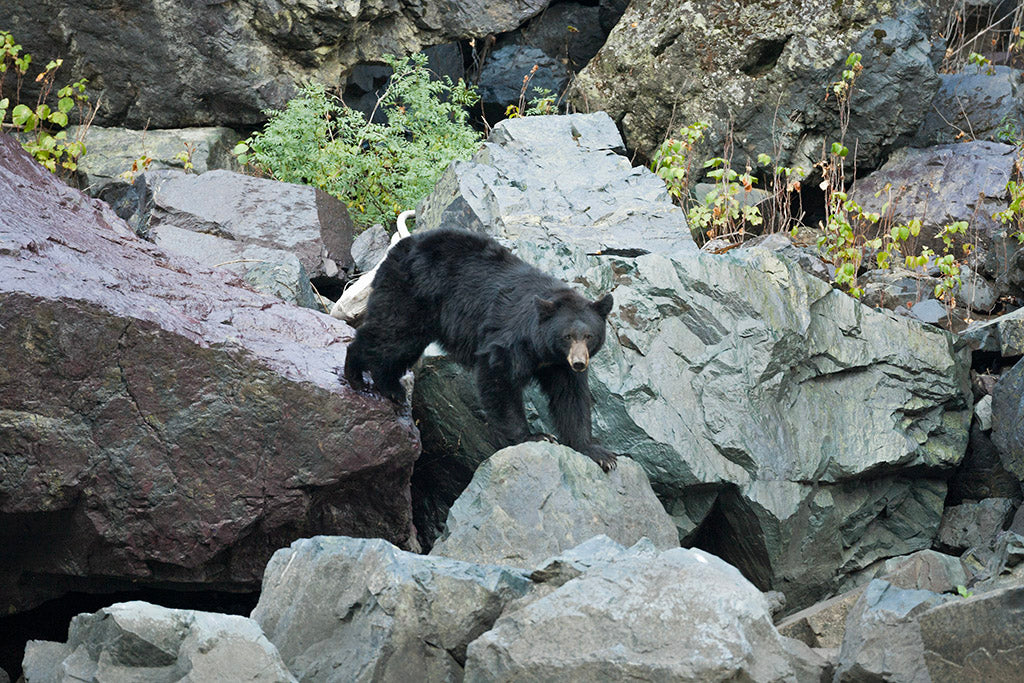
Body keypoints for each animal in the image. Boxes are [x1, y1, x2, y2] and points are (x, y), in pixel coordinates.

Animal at [346, 228, 614, 471]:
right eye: (567, 336)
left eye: (589, 336)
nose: (579, 362)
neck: (542, 348)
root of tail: (398, 247)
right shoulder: (512, 338)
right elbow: (499, 378)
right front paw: (533, 436)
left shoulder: (558, 364)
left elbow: (571, 397)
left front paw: (597, 452)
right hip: (412, 295)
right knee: (393, 336)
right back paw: (355, 373)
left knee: (399, 346)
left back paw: (391, 388)